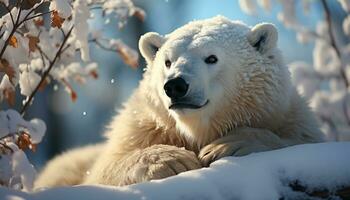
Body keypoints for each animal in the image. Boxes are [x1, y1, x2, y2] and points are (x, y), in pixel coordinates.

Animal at [34, 16, 324, 188]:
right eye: (167, 61)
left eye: (211, 58)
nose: (175, 85)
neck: (197, 129)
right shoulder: (143, 128)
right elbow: (104, 170)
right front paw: (172, 159)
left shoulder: (287, 116)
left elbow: (302, 143)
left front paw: (229, 144)